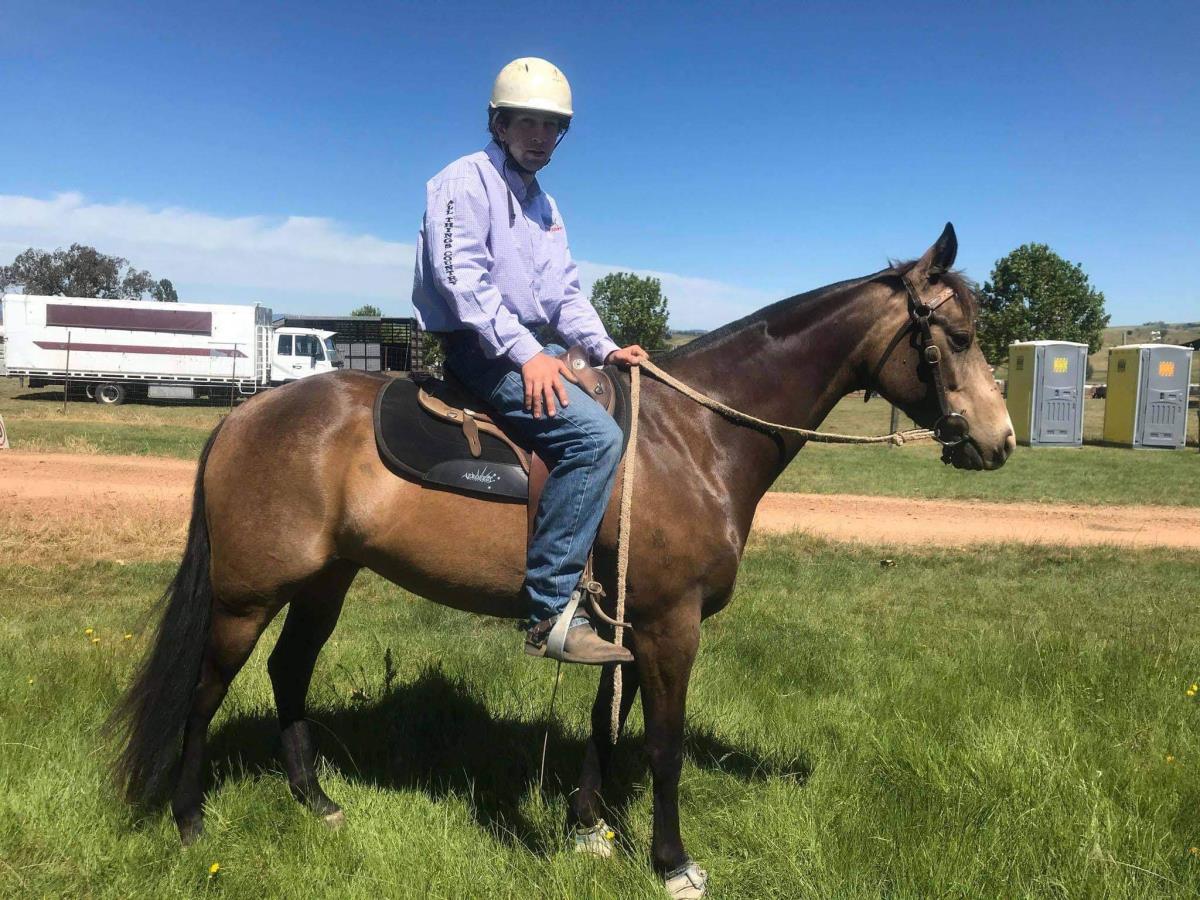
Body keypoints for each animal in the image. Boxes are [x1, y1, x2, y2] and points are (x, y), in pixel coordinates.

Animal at [111, 224, 1014, 894]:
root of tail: (244, 416)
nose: (1000, 441)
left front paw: (588, 826)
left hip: (326, 583)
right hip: (245, 596)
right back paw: (190, 820)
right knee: (206, 690)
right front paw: (672, 862)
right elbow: (663, 745)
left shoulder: (627, 624)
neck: (691, 441)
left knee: (289, 673)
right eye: (960, 335)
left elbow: (604, 726)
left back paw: (318, 802)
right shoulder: (671, 626)